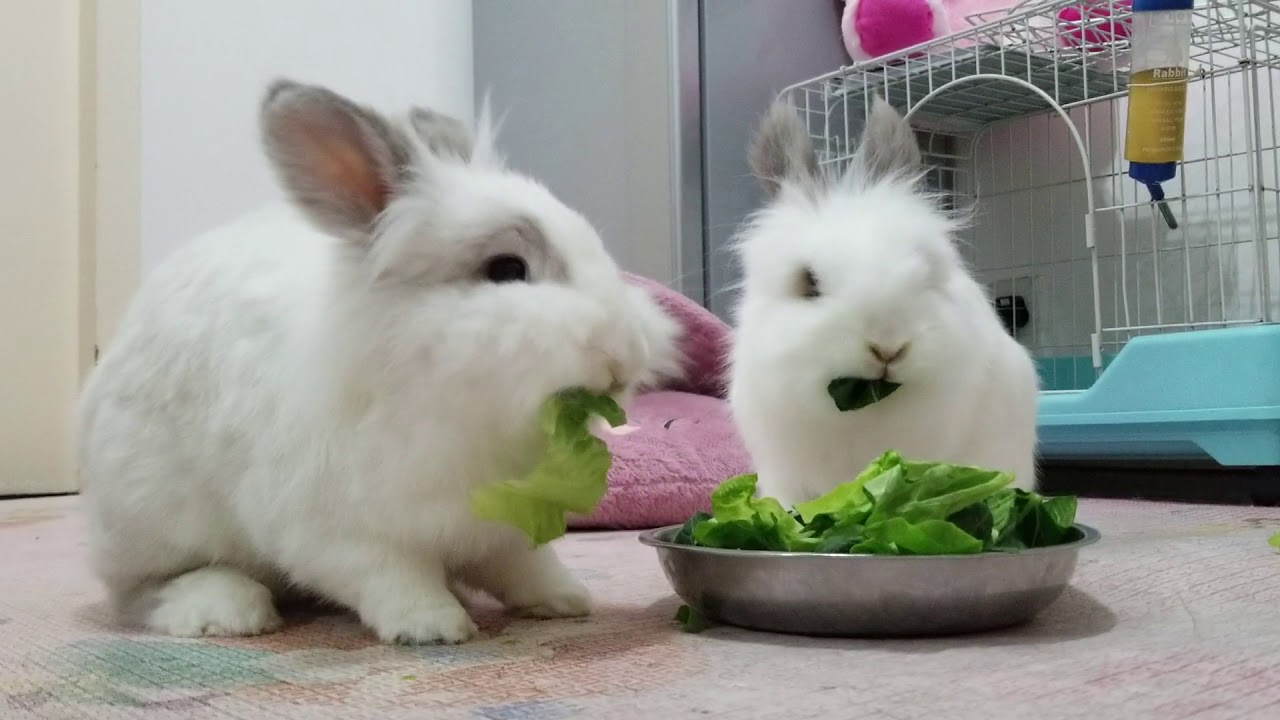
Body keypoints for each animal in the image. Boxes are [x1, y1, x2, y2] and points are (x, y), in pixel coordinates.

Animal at [78, 78, 682, 644]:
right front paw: (434, 626)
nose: (627, 353)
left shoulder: (505, 524)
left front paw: (565, 600)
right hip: (157, 520)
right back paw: (226, 611)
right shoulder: (342, 531)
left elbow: (526, 565)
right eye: (507, 269)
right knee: (145, 591)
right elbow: (393, 576)